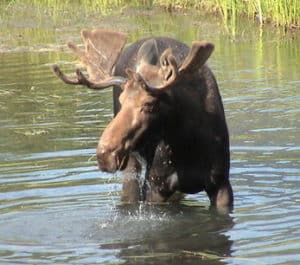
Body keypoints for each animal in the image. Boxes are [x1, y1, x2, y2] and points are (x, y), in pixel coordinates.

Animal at [52, 28, 233, 209]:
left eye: (149, 104)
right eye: (121, 100)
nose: (104, 154)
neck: (188, 144)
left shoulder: (221, 184)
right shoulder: (156, 184)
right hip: (131, 162)